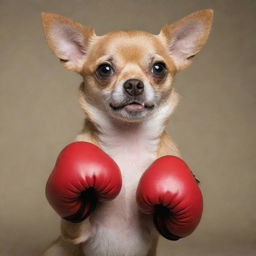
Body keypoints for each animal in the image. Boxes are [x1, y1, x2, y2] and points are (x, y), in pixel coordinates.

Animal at [42, 9, 213, 255]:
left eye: (159, 68)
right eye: (104, 70)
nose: (133, 84)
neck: (128, 142)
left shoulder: (155, 230)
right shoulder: (73, 233)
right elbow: (75, 216)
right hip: (57, 248)